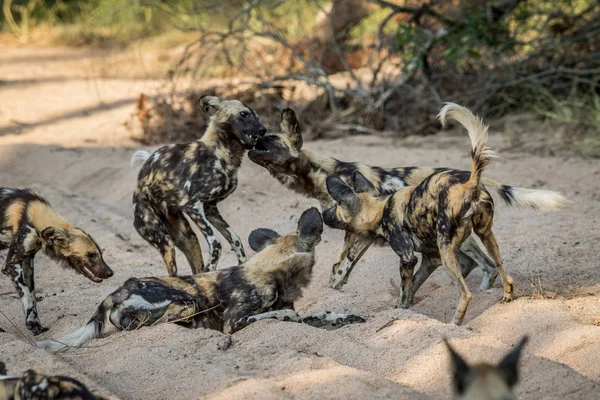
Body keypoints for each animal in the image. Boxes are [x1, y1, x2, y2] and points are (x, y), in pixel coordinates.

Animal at [0, 188, 113, 334]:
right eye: (92, 255)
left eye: (100, 254)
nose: (110, 273)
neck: (33, 213)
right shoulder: (12, 265)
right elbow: (26, 294)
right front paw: (32, 324)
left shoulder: (27, 263)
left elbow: (31, 296)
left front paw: (35, 323)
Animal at [38, 208, 366, 352]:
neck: (272, 272)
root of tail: (120, 289)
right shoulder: (234, 321)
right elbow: (281, 315)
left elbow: (320, 314)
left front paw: (344, 317)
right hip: (187, 303)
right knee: (155, 324)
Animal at [131, 94, 268, 276]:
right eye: (243, 114)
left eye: (257, 117)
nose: (263, 130)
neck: (222, 155)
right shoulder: (193, 206)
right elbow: (216, 244)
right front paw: (211, 272)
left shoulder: (210, 209)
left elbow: (236, 240)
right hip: (165, 241)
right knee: (173, 271)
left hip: (187, 238)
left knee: (194, 266)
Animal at [247, 108, 568, 292]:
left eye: (271, 141)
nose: (252, 141)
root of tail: (468, 176)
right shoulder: (357, 233)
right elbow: (338, 267)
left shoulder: (358, 236)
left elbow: (341, 267)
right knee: (480, 264)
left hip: (452, 235)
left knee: (485, 264)